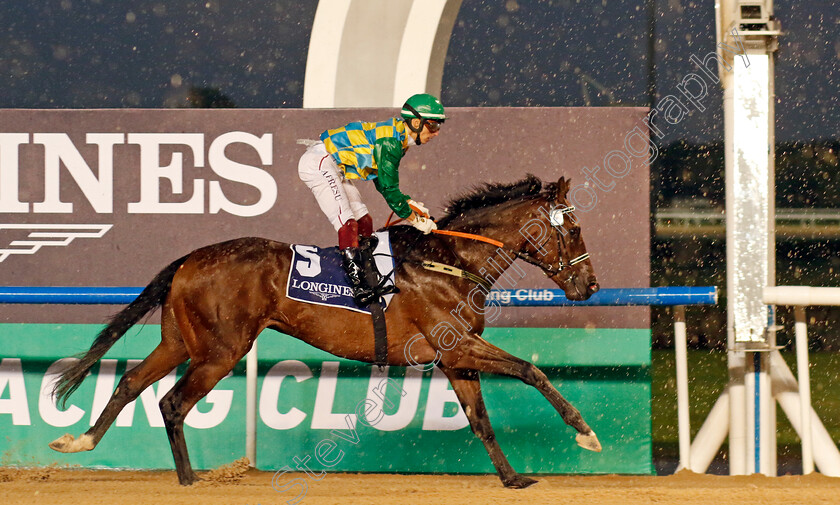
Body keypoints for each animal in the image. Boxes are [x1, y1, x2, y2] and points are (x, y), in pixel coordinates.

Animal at [50, 174, 604, 488]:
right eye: (575, 229)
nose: (591, 285)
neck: (448, 259)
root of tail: (190, 258)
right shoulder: (460, 343)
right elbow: (531, 370)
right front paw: (585, 432)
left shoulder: (454, 356)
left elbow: (481, 420)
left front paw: (513, 479)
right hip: (221, 350)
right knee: (172, 401)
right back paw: (188, 479)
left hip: (179, 340)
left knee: (131, 382)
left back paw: (81, 442)